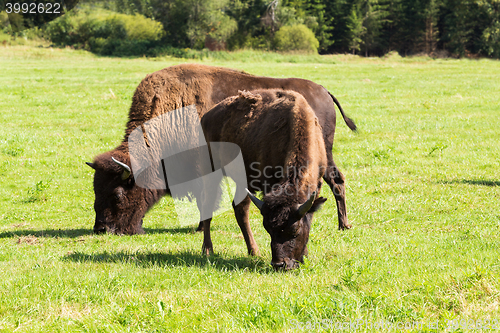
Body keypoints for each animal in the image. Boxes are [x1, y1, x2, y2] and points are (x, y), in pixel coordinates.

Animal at [85, 63, 352, 235]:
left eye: (117, 194)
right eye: (96, 189)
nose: (101, 228)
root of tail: (323, 91)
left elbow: (204, 199)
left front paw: (199, 227)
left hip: (322, 154)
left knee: (336, 180)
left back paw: (343, 224)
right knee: (335, 180)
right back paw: (343, 224)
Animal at [199, 89, 328, 270]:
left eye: (294, 230)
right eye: (267, 228)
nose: (279, 264)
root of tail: (207, 116)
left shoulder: (317, 184)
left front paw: (305, 255)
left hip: (243, 180)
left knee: (240, 208)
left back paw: (254, 251)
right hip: (211, 170)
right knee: (208, 206)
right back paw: (208, 250)